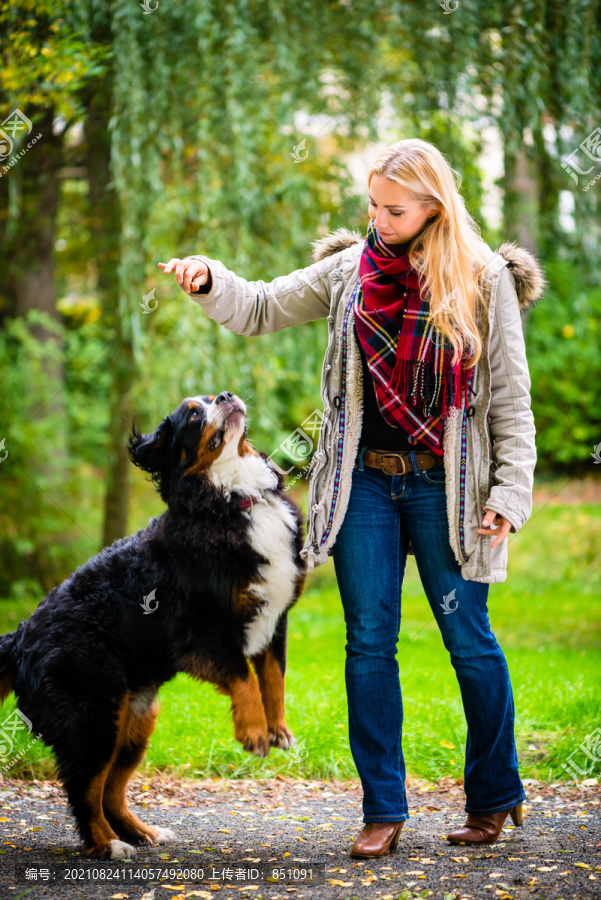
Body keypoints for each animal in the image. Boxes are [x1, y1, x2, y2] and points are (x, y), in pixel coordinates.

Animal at [0, 392, 304, 856]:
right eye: (193, 415)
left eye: (212, 397)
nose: (226, 396)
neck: (230, 499)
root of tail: (18, 640)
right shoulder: (199, 634)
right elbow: (244, 677)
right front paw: (254, 732)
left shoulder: (274, 619)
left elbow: (273, 678)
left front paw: (279, 729)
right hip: (94, 715)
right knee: (84, 790)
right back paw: (107, 846)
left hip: (134, 720)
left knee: (110, 790)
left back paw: (140, 832)